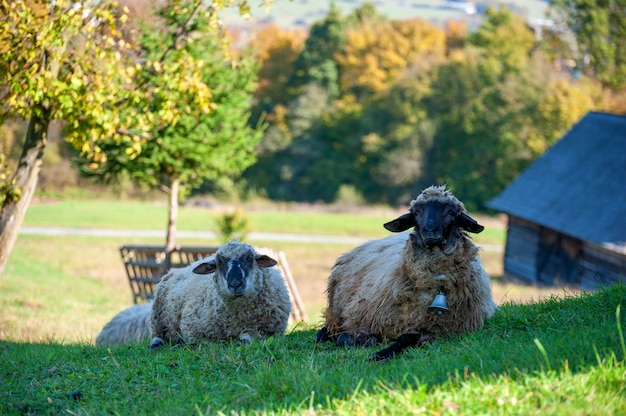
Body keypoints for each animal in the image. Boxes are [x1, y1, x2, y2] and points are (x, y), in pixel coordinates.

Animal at [314, 185, 494, 360]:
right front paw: (364, 342)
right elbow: (346, 338)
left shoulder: (440, 330)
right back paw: (323, 336)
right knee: (329, 329)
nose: (430, 230)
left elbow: (407, 338)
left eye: (451, 212)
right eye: (416, 213)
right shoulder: (369, 319)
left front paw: (380, 353)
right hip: (337, 311)